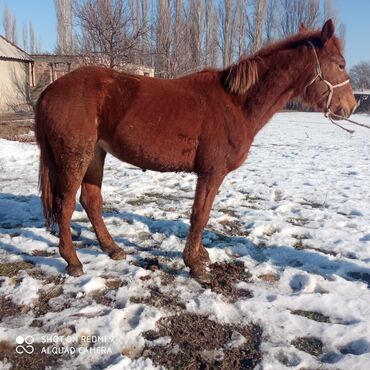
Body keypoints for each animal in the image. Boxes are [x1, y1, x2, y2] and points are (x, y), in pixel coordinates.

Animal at [36, 19, 356, 284]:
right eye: (340, 64)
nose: (351, 107)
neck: (235, 103)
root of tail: (50, 89)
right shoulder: (211, 173)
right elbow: (200, 215)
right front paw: (195, 265)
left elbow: (204, 213)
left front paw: (200, 256)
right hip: (75, 157)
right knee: (66, 204)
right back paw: (73, 261)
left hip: (94, 155)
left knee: (91, 201)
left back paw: (112, 248)